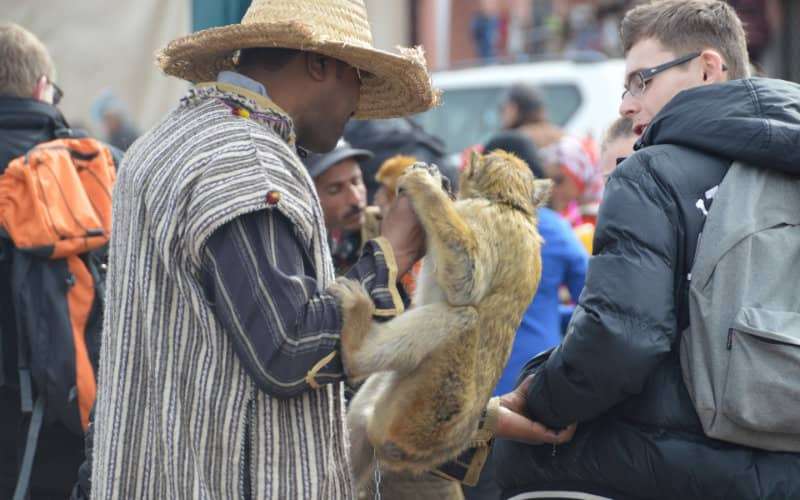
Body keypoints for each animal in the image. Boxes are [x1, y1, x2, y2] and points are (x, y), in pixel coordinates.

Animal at [328, 150, 552, 486]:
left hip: (428, 407)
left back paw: (356, 351)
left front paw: (424, 183)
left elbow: (467, 281)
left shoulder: (483, 217)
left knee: (463, 317)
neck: (508, 203)